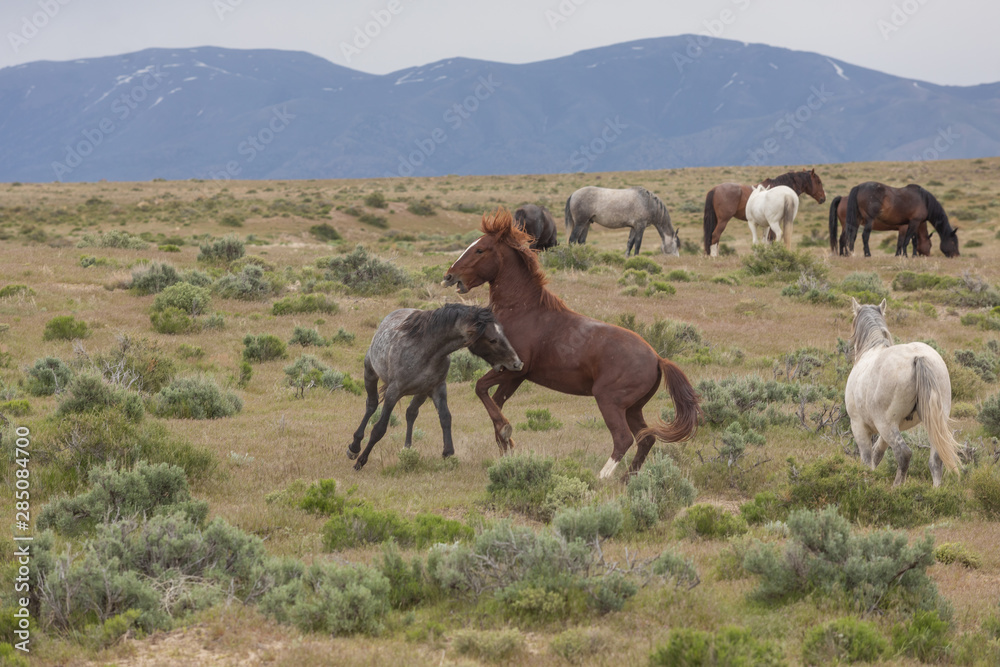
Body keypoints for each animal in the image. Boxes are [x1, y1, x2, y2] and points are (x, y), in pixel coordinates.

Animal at [348, 304, 523, 471]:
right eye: (492, 340)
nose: (517, 363)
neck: (426, 350)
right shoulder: (393, 392)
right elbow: (380, 428)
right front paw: (361, 461)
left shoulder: (437, 388)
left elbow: (445, 418)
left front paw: (448, 452)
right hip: (370, 372)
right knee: (371, 405)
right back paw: (354, 447)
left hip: (421, 393)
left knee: (411, 413)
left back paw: (407, 449)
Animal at [442, 208, 700, 478]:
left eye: (480, 250)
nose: (449, 276)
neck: (523, 312)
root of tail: (658, 358)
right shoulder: (514, 376)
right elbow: (495, 402)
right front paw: (506, 446)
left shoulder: (514, 369)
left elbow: (480, 389)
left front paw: (505, 435)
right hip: (633, 408)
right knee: (646, 439)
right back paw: (627, 480)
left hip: (610, 402)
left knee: (623, 439)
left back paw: (602, 478)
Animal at [845, 299, 962, 487]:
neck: (872, 348)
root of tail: (918, 357)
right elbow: (877, 454)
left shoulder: (858, 426)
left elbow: (867, 459)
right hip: (933, 422)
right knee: (936, 460)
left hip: (886, 424)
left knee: (904, 453)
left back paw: (897, 487)